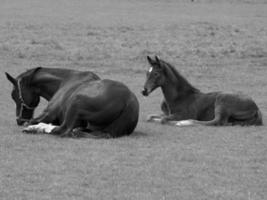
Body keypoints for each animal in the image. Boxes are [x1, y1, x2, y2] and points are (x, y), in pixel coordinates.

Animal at [5, 67, 140, 138]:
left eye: (14, 95)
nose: (19, 120)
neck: (64, 81)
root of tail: (128, 100)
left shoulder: (48, 114)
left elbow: (31, 121)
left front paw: (33, 126)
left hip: (75, 103)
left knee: (63, 130)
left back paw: (37, 128)